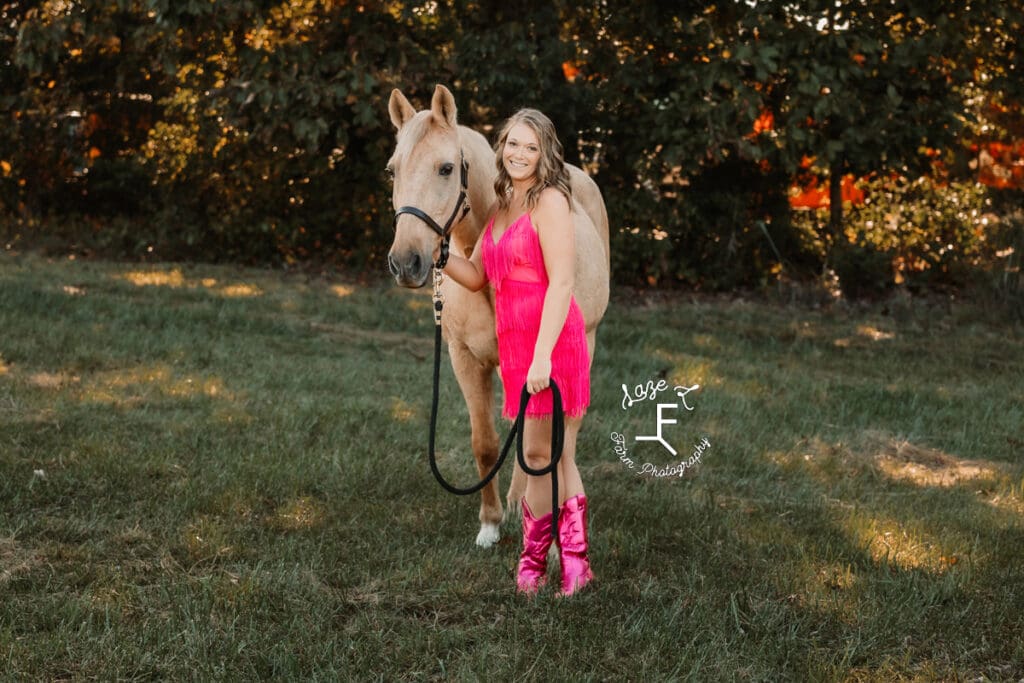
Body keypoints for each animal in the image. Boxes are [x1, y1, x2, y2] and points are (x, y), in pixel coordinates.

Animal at [385, 85, 606, 548]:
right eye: (392, 171)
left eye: (446, 168)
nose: (406, 262)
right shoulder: (465, 358)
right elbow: (485, 443)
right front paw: (490, 522)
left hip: (581, 349)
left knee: (566, 439)